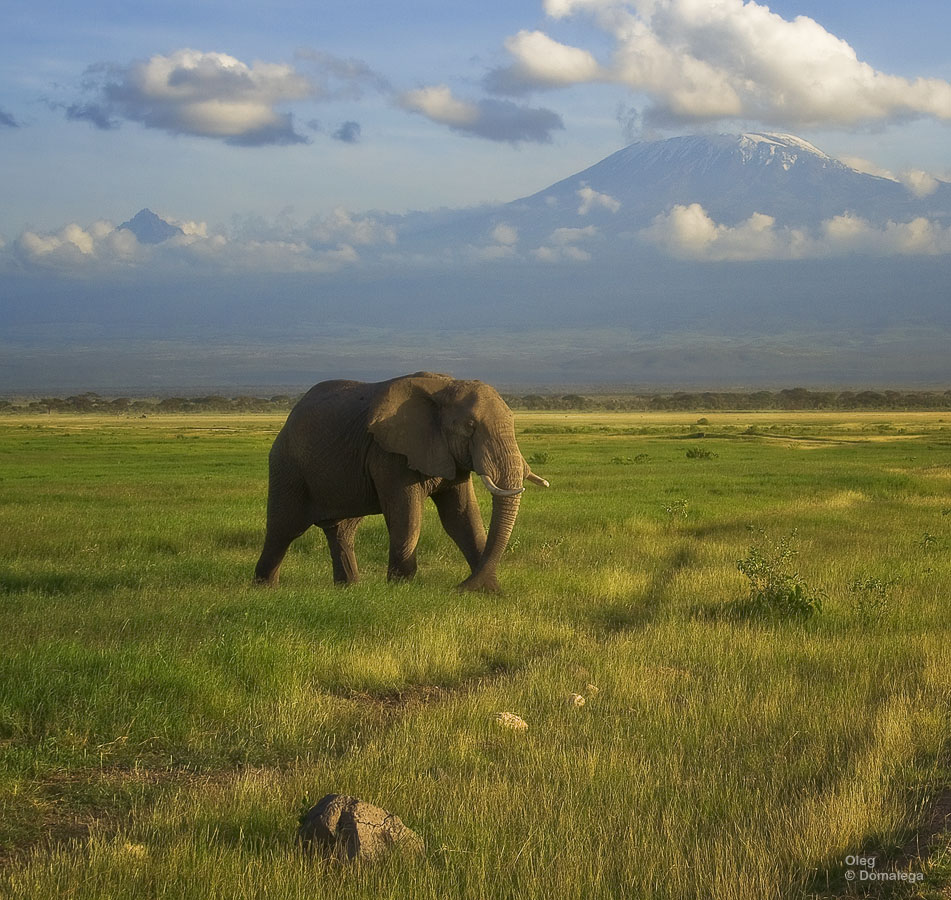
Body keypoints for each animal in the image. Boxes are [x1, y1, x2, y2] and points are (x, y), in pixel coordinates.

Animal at [255, 370, 552, 592]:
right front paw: (402, 589)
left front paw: (489, 591)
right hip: (287, 466)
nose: (457, 587)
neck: (445, 387)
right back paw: (265, 588)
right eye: (470, 427)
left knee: (342, 531)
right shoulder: (390, 453)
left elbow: (462, 517)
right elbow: (407, 514)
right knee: (284, 529)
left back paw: (349, 588)